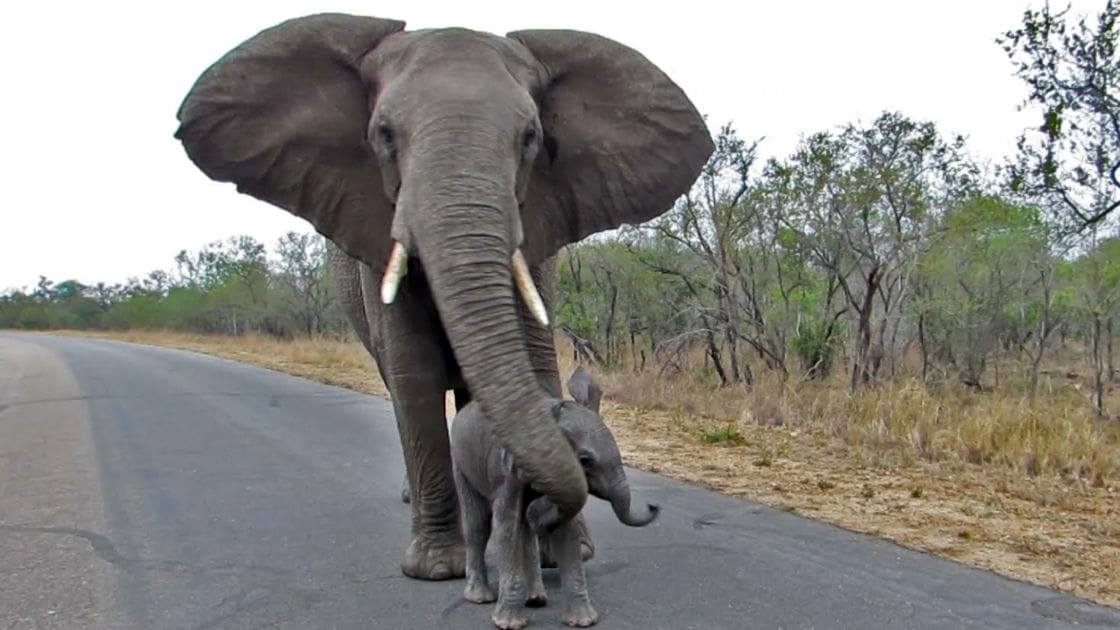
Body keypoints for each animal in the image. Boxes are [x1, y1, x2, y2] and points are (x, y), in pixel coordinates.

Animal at [174, 12, 712, 582]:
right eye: (383, 134)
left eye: (530, 137)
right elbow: (414, 375)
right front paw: (437, 568)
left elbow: (533, 360)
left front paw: (564, 551)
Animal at [450, 367, 658, 629]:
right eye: (585, 461)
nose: (653, 505)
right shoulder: (507, 473)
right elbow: (505, 525)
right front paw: (508, 624)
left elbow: (565, 531)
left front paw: (583, 622)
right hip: (461, 462)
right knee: (478, 524)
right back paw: (480, 597)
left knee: (523, 531)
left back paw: (536, 599)